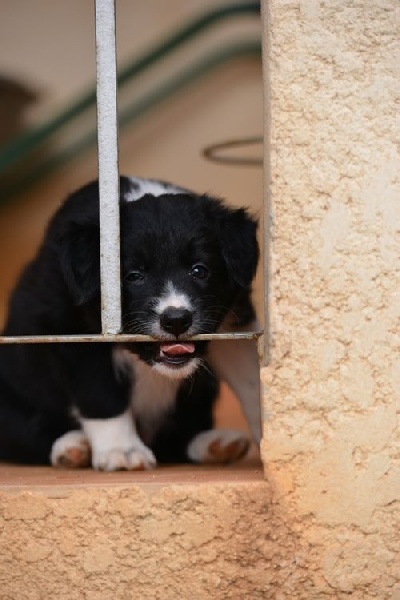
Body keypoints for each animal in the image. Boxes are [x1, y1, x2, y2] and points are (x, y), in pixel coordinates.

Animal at [0, 176, 260, 472]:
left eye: (199, 270)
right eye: (133, 276)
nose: (176, 320)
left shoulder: (234, 322)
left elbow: (251, 381)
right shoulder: (72, 331)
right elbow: (101, 395)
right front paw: (121, 451)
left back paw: (216, 444)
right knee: (25, 434)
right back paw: (73, 448)